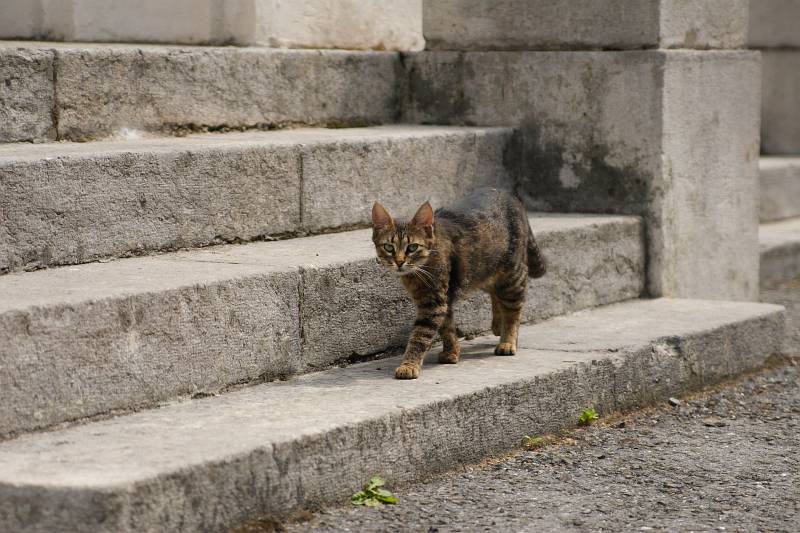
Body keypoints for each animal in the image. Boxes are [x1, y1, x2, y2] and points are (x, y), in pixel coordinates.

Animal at [372, 187, 548, 378]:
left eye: (412, 247)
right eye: (389, 247)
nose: (399, 262)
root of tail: (510, 195)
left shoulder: (434, 303)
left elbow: (420, 336)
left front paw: (409, 365)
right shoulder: (444, 299)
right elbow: (447, 328)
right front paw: (452, 353)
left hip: (511, 274)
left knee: (513, 308)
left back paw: (507, 340)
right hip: (483, 268)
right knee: (496, 293)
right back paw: (497, 324)